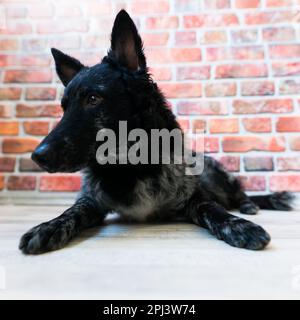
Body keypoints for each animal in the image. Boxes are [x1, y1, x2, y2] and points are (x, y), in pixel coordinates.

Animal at [19, 10, 294, 255]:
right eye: (64, 108)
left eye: (93, 99)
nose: (37, 156)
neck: (131, 166)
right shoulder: (91, 201)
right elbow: (72, 212)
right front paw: (48, 226)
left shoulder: (196, 198)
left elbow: (214, 210)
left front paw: (240, 226)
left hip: (219, 177)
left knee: (239, 194)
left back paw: (249, 206)